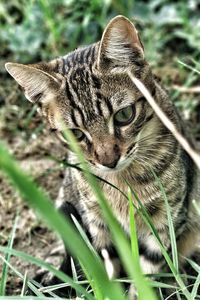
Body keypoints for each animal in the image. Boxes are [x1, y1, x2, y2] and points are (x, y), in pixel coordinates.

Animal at [5, 14, 200, 298]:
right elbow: (104, 271)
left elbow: (146, 276)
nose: (108, 160)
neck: (122, 183)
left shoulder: (166, 223)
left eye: (124, 115)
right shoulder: (98, 224)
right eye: (75, 133)